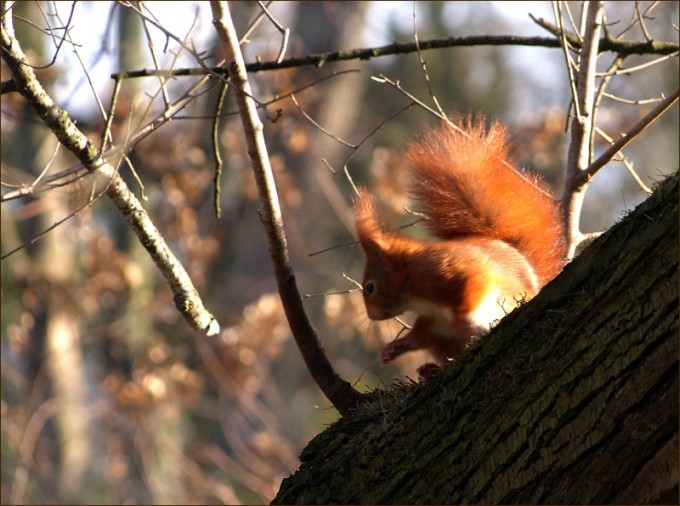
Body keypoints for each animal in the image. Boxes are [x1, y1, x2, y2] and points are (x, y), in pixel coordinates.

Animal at [354, 117, 567, 367]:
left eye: (370, 287)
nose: (371, 316)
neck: (416, 290)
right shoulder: (434, 323)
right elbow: (420, 336)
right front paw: (393, 348)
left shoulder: (454, 271)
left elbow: (475, 286)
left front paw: (464, 320)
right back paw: (430, 370)